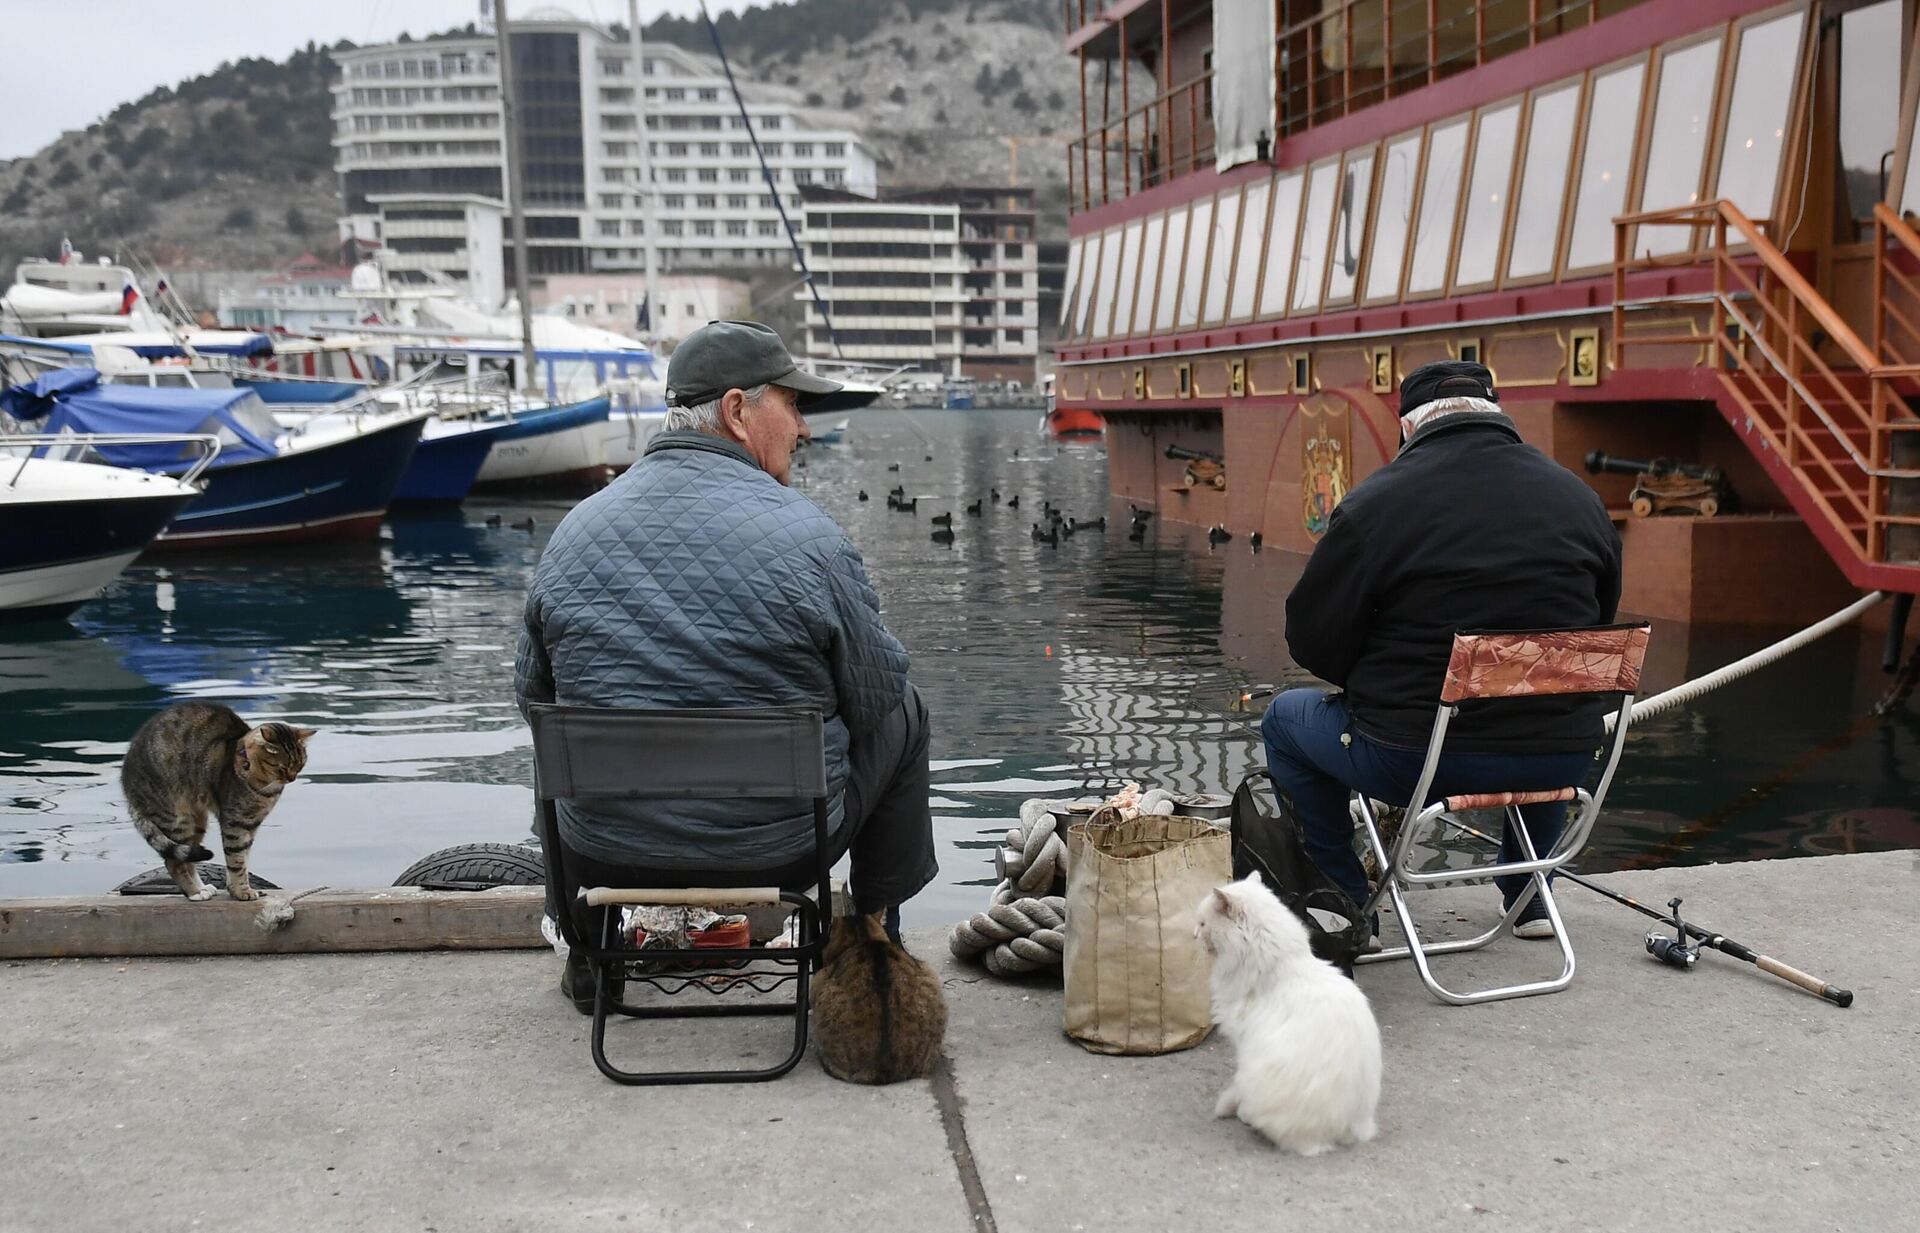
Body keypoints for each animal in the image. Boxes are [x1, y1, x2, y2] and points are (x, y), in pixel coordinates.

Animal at [121, 699, 311, 902]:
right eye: (281, 767)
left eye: (300, 765)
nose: (292, 778)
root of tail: (125, 781)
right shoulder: (235, 823)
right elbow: (236, 860)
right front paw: (242, 891)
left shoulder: (251, 824)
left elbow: (242, 859)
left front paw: (234, 888)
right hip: (176, 817)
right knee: (174, 862)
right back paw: (195, 893)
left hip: (197, 822)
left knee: (189, 858)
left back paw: (202, 888)